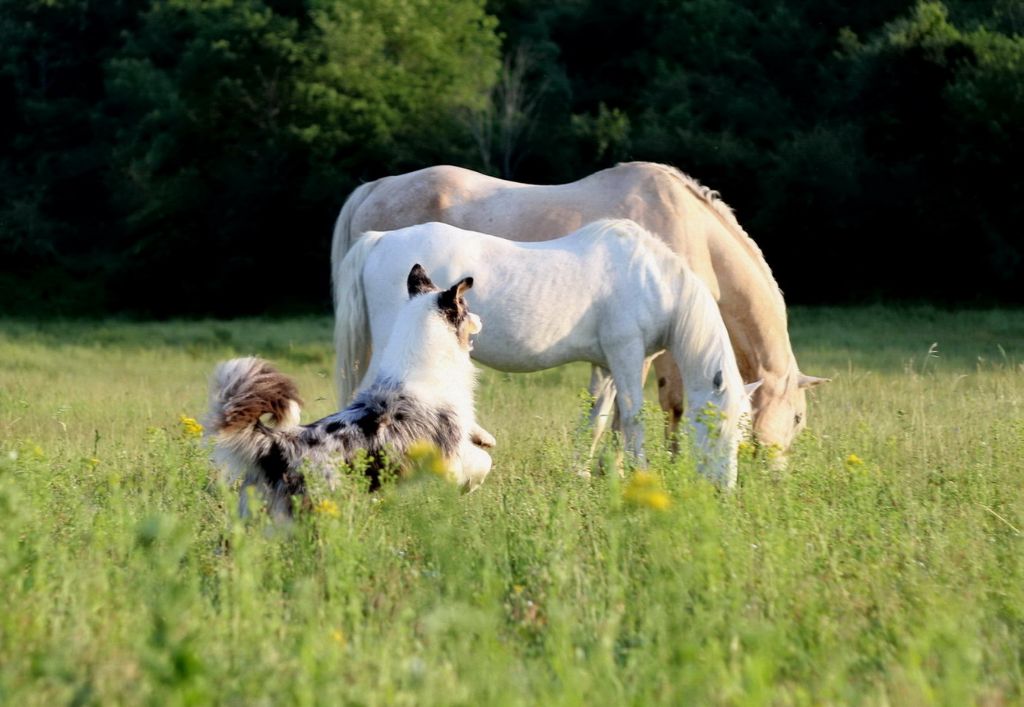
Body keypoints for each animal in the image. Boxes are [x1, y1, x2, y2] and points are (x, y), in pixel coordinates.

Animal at [331, 160, 827, 456]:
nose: (773, 477)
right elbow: (668, 406)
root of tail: (374, 189)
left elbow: (605, 413)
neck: (689, 230)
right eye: (798, 417)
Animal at [333, 219, 753, 483]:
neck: (651, 280)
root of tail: (380, 240)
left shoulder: (605, 366)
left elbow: (598, 419)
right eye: (716, 427)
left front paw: (584, 474)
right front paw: (640, 473)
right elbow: (633, 417)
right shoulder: (627, 355)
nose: (724, 488)